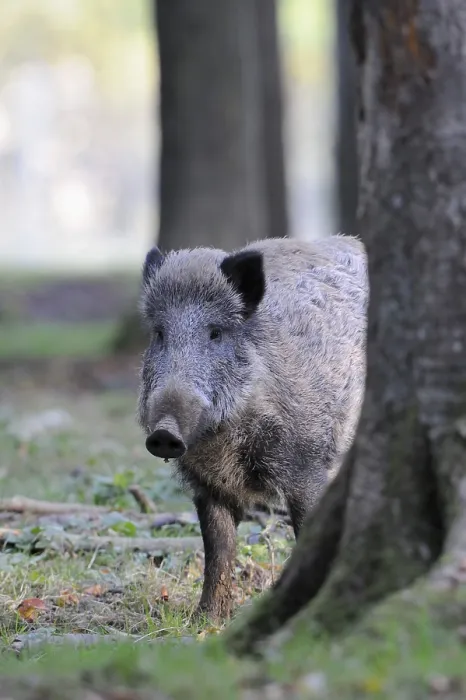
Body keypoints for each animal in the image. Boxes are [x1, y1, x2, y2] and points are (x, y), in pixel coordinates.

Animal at [137, 236, 368, 621]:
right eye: (159, 334)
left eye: (215, 333)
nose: (164, 434)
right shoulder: (207, 484)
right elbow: (218, 549)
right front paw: (206, 621)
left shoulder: (307, 464)